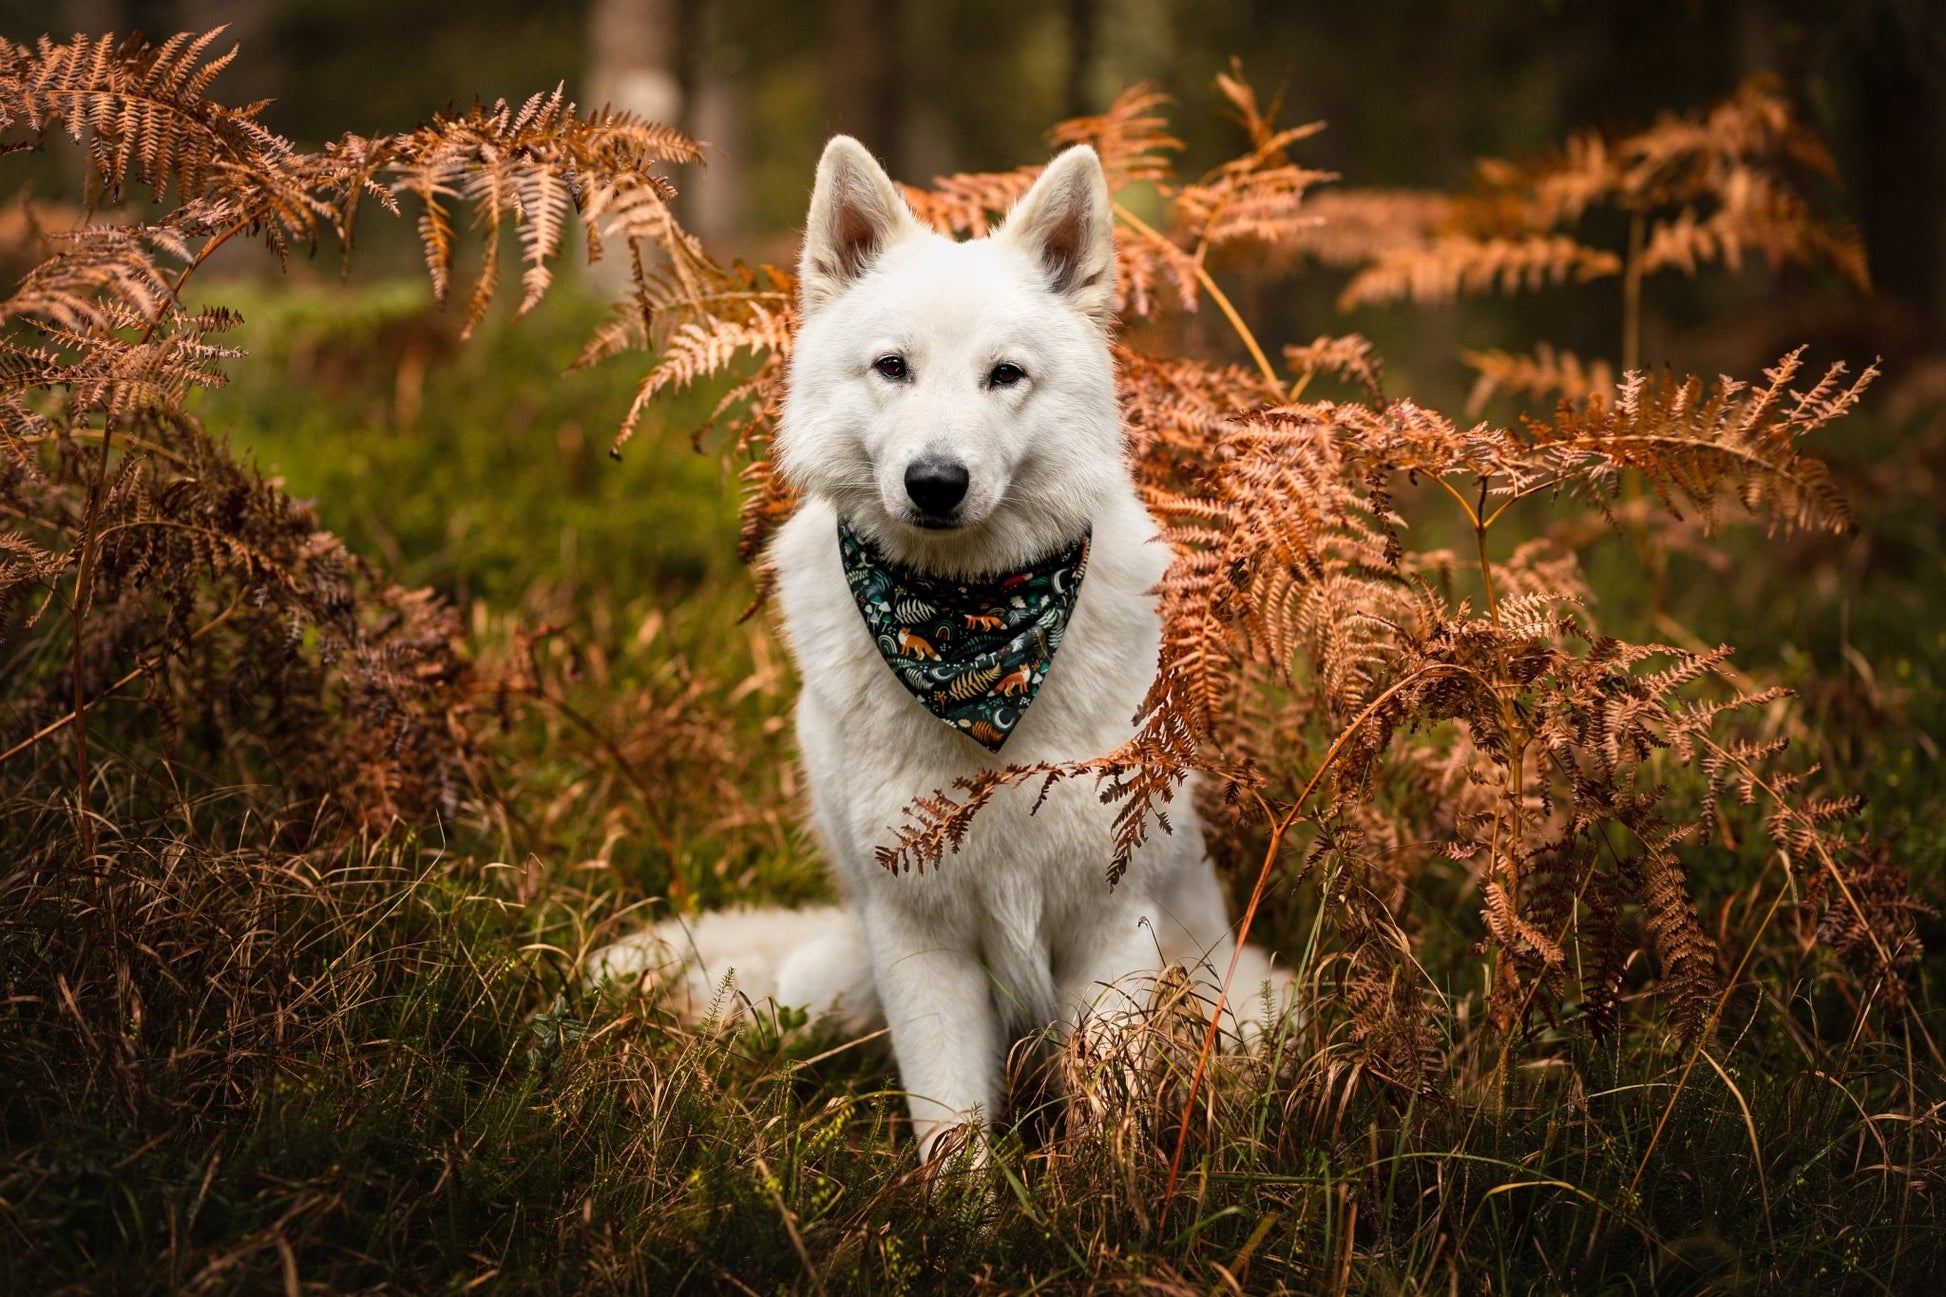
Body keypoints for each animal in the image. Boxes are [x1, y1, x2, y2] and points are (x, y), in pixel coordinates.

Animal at [591, 136, 1293, 1162]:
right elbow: (950, 1119)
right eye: (893, 367)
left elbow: (1108, 1108)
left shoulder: (1108, 922)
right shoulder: (915, 932)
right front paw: (967, 1203)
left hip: (1248, 1011)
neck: (971, 638)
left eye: (1005, 374)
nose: (935, 481)